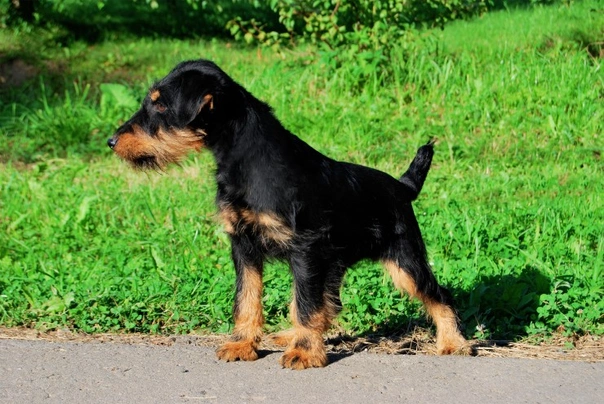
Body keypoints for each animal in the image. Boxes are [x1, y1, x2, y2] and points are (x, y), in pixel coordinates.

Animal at [107, 59, 468, 370]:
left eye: (160, 106)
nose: (111, 141)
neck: (245, 160)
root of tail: (401, 186)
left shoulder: (305, 250)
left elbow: (306, 305)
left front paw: (306, 353)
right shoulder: (244, 246)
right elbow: (247, 299)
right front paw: (243, 344)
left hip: (404, 261)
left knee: (438, 294)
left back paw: (454, 343)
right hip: (335, 264)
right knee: (328, 303)